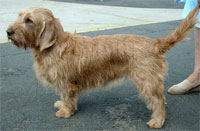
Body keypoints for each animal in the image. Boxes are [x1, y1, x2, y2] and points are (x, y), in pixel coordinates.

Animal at [6, 3, 200, 129]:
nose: (8, 32)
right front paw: (61, 104)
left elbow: (68, 97)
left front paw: (65, 111)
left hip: (147, 81)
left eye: (29, 20)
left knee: (160, 100)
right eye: (19, 16)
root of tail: (154, 43)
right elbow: (64, 97)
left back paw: (157, 121)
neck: (54, 46)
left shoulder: (66, 82)